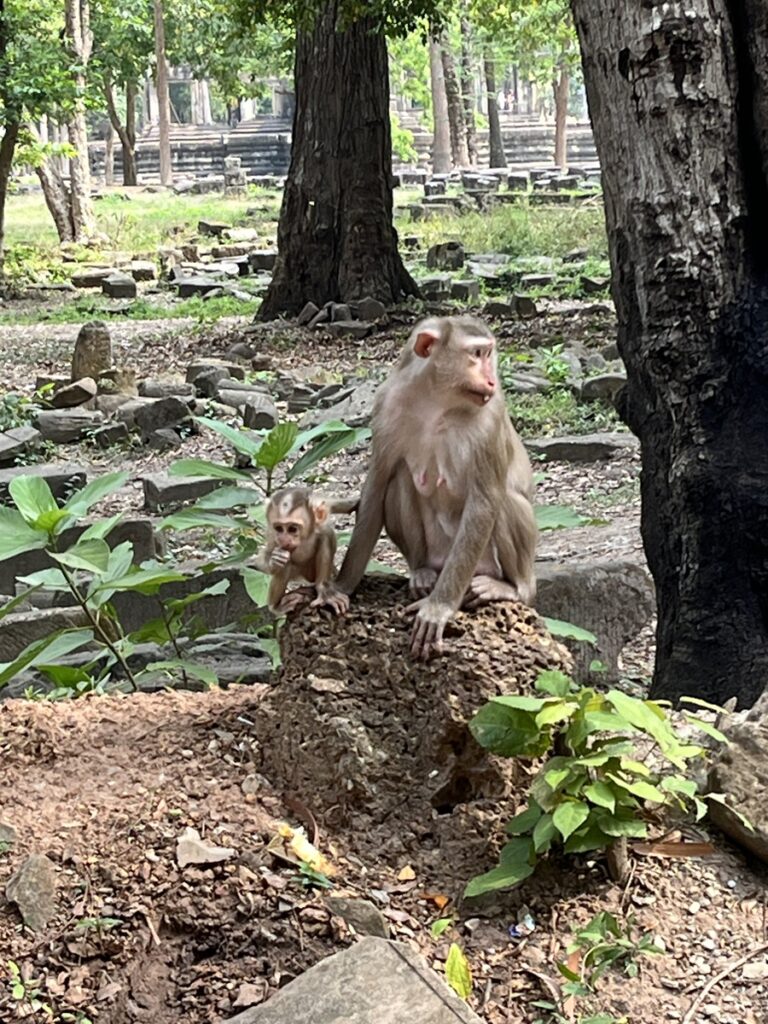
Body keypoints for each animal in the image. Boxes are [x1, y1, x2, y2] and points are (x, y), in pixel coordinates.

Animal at [258, 487, 356, 615]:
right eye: (279, 528)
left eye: (292, 529)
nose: (283, 539)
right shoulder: (273, 537)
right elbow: (266, 559)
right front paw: (273, 560)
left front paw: (355, 503)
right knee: (286, 564)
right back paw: (276, 606)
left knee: (325, 534)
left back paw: (324, 589)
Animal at [325, 314, 537, 660]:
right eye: (476, 354)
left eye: (488, 354)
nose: (491, 381)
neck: (437, 400)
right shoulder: (386, 405)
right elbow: (376, 485)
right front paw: (340, 587)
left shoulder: (491, 416)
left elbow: (484, 501)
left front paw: (439, 608)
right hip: (436, 551)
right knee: (399, 480)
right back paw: (423, 570)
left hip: (486, 565)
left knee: (503, 499)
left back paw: (513, 588)